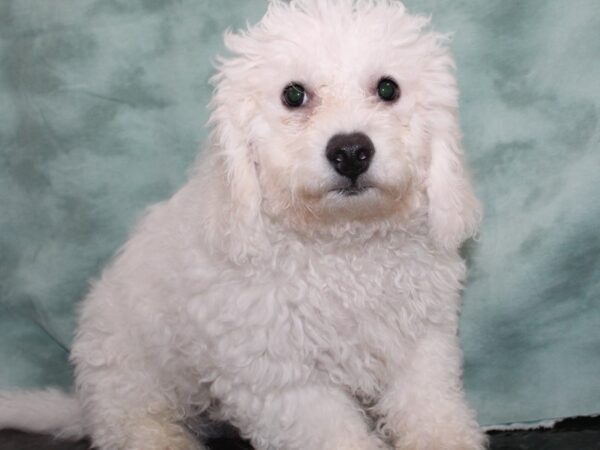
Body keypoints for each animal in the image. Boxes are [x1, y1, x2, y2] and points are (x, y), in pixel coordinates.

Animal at [1, 0, 488, 450]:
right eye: (293, 95)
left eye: (388, 88)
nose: (351, 151)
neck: (343, 246)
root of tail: (86, 402)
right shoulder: (281, 378)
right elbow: (333, 433)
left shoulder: (421, 345)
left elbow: (431, 407)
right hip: (127, 370)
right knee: (131, 423)